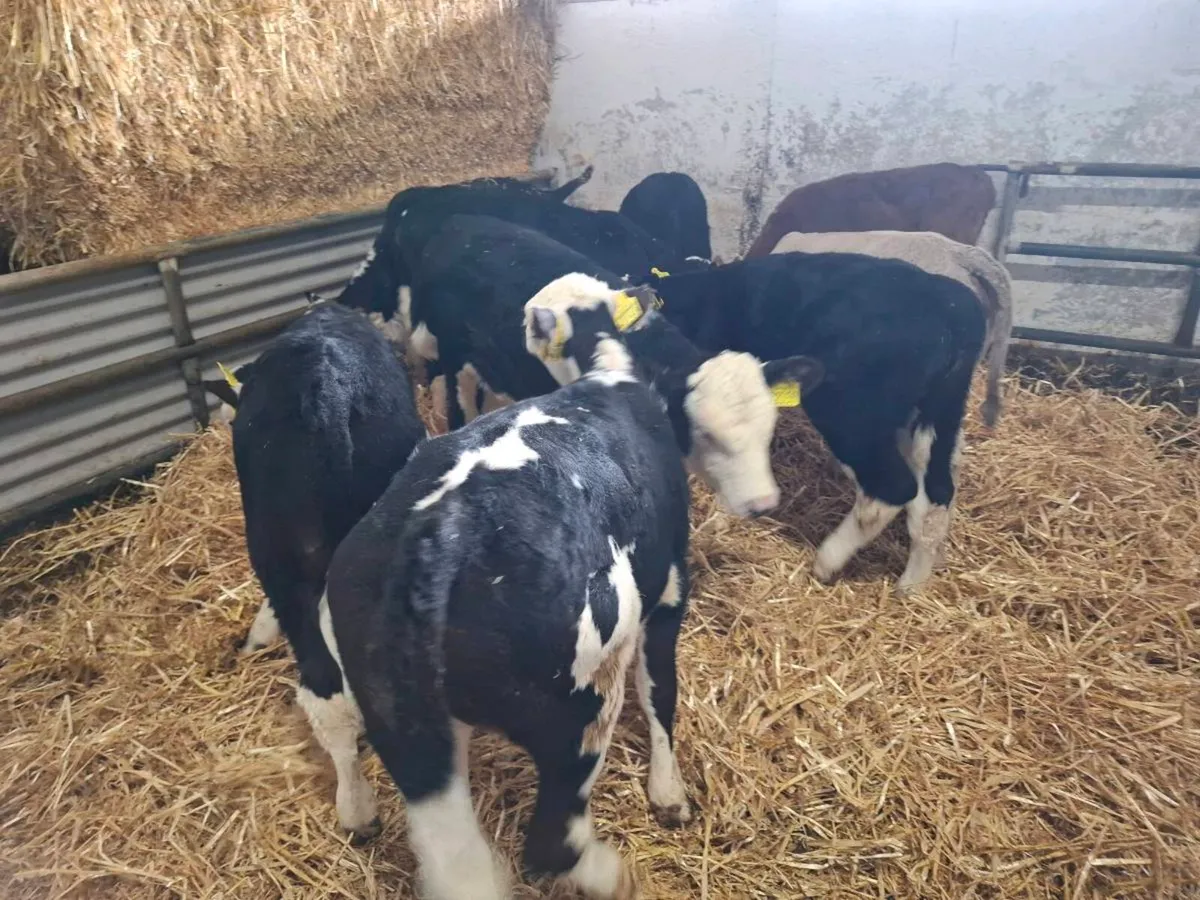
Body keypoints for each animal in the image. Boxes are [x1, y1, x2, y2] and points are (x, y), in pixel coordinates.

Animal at [312, 286, 700, 898]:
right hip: (581, 707)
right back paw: (614, 875)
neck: (607, 368)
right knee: (552, 841)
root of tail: (436, 537)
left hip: (402, 720)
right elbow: (660, 691)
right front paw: (669, 793)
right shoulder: (668, 591)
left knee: (455, 856)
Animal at [640, 252, 987, 591]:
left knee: (892, 487)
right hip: (940, 413)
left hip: (850, 415)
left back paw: (826, 561)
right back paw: (913, 585)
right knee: (936, 494)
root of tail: (952, 304)